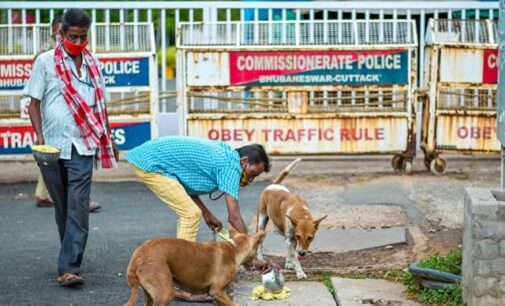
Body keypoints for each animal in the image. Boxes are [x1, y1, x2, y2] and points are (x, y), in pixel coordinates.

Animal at [123, 230, 266, 306]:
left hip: (150, 296)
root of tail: (137, 256)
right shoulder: (217, 292)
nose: (257, 264)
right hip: (165, 293)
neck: (235, 248)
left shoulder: (219, 295)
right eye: (255, 250)